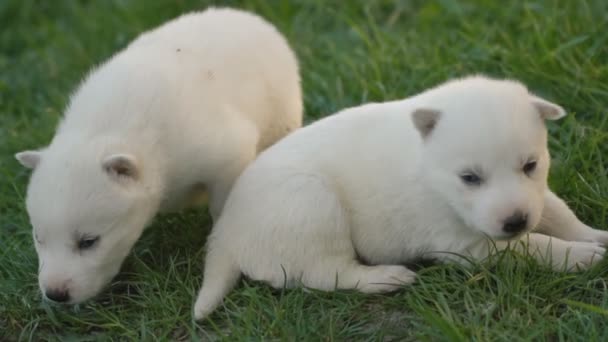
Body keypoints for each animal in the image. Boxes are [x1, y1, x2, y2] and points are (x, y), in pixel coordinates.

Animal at [12, 6, 302, 304]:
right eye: (38, 237)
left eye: (88, 242)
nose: (55, 294)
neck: (106, 127)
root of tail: (248, 17)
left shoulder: (224, 153)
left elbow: (223, 203)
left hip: (283, 112)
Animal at [194, 75, 608, 320]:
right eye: (469, 178)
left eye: (530, 165)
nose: (515, 221)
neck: (430, 168)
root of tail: (225, 234)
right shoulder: (467, 243)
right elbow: (534, 245)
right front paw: (581, 256)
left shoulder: (535, 196)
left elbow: (558, 212)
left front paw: (594, 235)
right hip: (310, 208)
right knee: (327, 272)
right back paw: (385, 278)